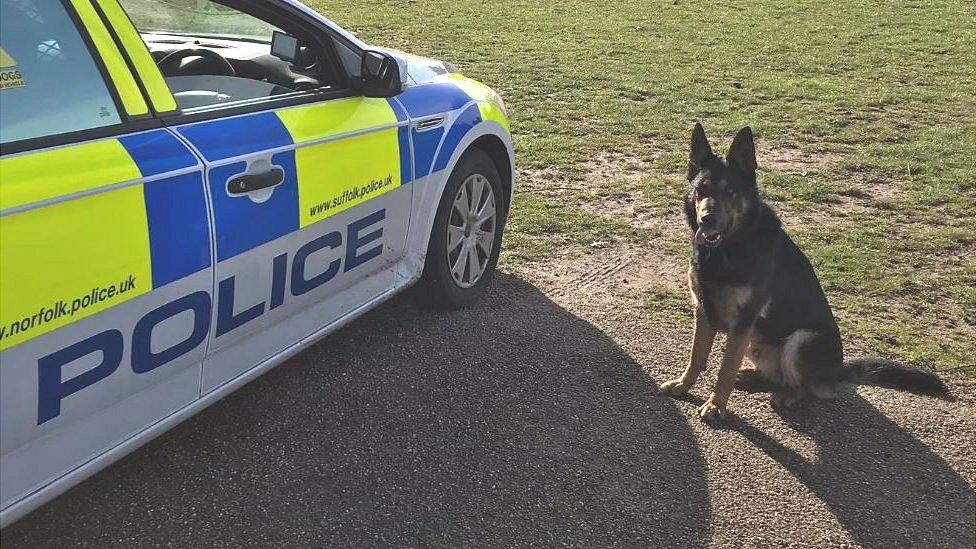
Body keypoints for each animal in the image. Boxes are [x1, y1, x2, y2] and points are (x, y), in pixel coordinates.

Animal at [656, 124, 944, 422]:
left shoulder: (743, 321)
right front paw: (684, 384)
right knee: (776, 375)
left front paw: (716, 405)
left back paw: (788, 395)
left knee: (808, 388)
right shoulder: (703, 310)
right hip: (756, 343)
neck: (730, 247)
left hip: (802, 339)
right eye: (701, 189)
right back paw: (754, 377)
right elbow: (696, 356)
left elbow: (725, 369)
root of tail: (836, 372)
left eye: (731, 191)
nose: (707, 219)